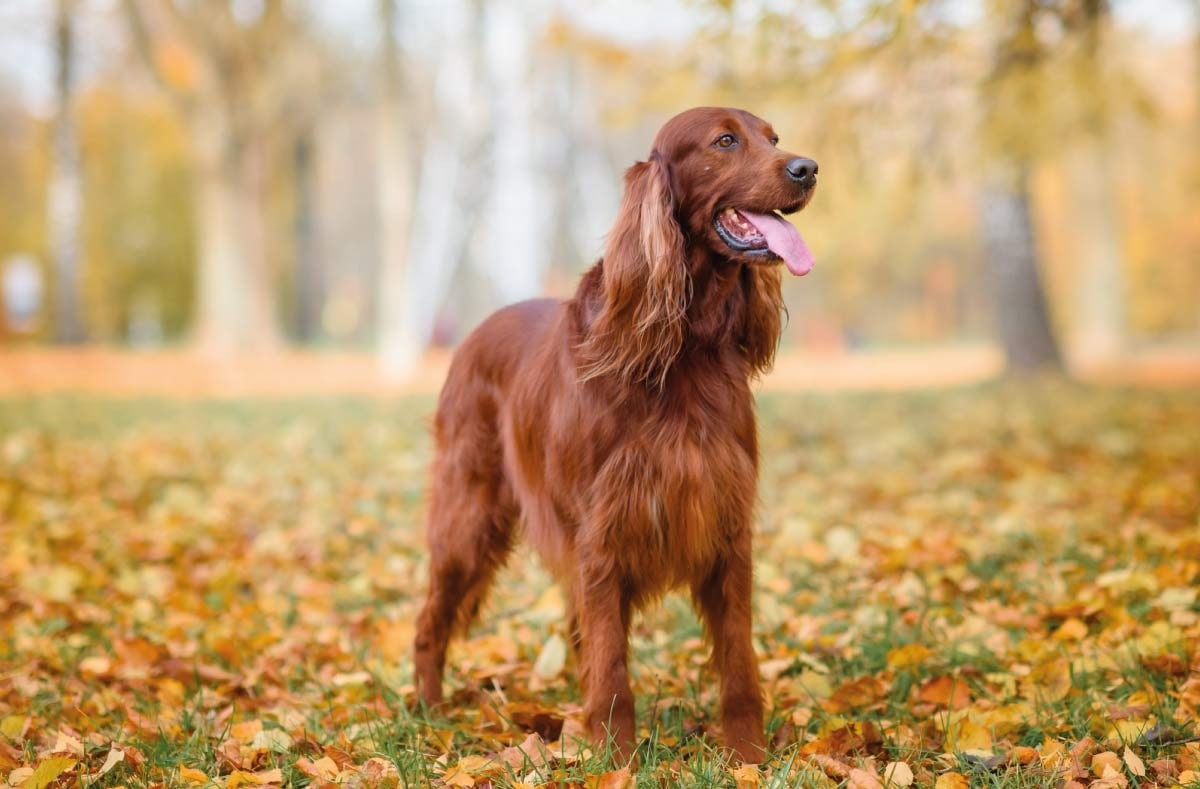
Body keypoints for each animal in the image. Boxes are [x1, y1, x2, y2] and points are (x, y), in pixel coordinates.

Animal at [412, 106, 816, 762]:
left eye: (774, 138)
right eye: (725, 141)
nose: (808, 169)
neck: (684, 349)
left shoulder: (727, 526)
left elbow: (739, 663)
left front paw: (748, 758)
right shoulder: (603, 530)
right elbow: (612, 666)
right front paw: (617, 760)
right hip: (466, 517)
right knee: (430, 620)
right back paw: (427, 711)